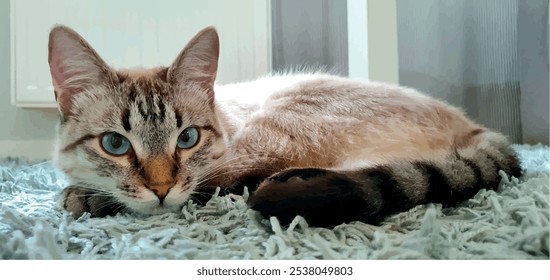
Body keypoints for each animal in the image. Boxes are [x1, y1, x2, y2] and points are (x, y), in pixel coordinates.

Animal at [48, 24, 520, 228]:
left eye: (187, 139)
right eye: (115, 144)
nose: (162, 189)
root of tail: (472, 124)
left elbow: (204, 183)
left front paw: (83, 198)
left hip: (284, 118)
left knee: (243, 179)